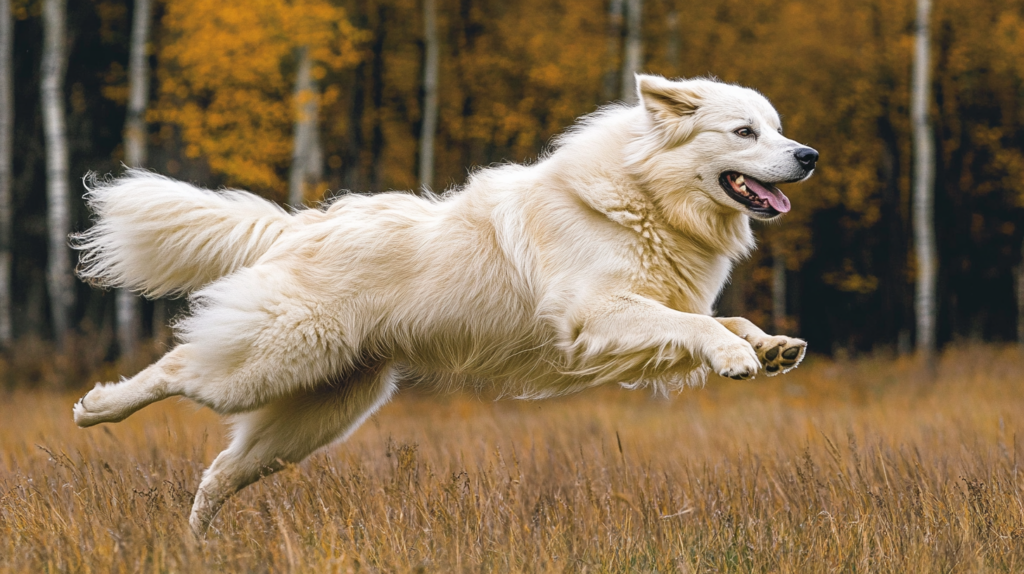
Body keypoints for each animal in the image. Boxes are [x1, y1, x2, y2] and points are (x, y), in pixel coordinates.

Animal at [70, 73, 815, 536]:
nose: (808, 155)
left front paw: (769, 345)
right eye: (744, 132)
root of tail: (295, 226)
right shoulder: (596, 316)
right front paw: (733, 356)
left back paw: (195, 542)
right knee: (175, 372)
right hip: (268, 365)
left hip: (316, 415)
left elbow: (720, 317)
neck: (646, 196)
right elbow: (692, 322)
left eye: (777, 129)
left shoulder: (632, 327)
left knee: (220, 472)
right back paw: (95, 409)